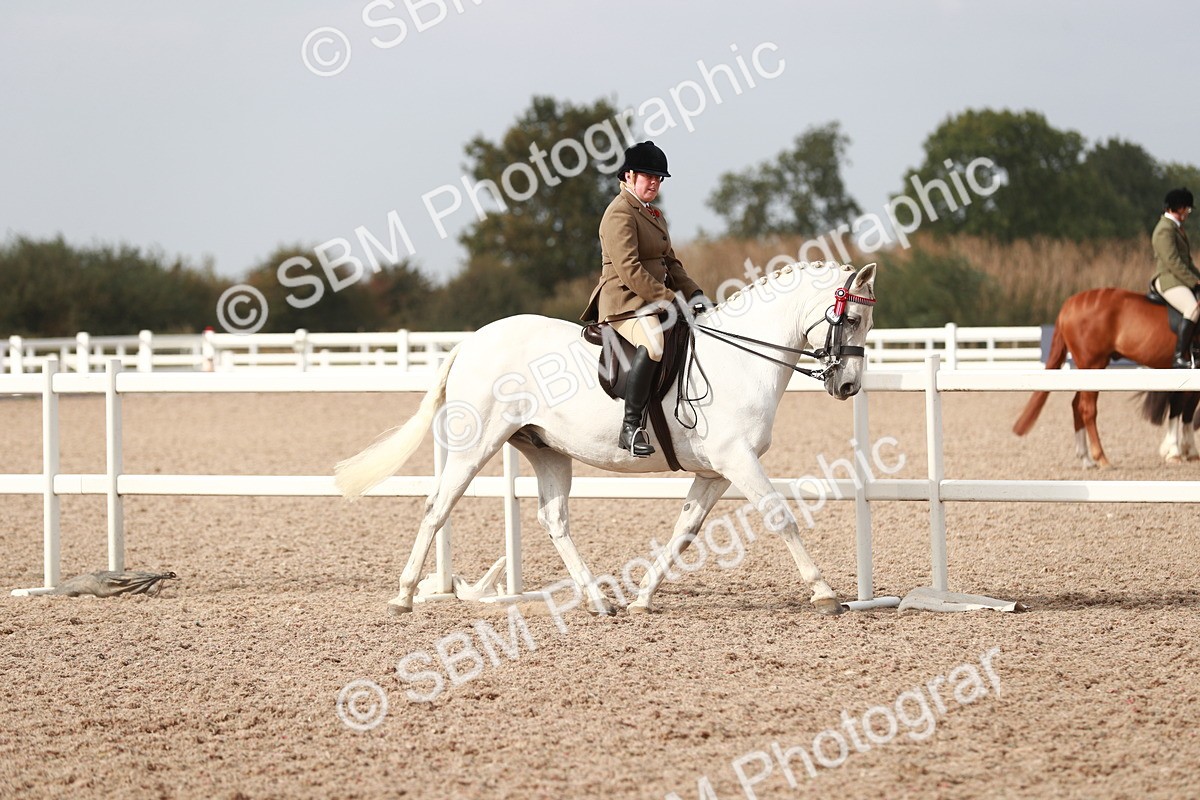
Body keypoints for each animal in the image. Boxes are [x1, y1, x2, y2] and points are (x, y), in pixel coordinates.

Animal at [335, 261, 878, 617]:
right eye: (851, 318)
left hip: (546, 450)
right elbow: (781, 517)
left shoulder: (715, 471)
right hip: (476, 446)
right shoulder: (737, 460)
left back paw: (598, 599)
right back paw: (403, 596)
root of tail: (470, 342)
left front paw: (641, 599)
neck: (740, 359)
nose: (848, 386)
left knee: (554, 520)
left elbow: (685, 531)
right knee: (438, 507)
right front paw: (826, 594)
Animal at [1012, 287, 1200, 467]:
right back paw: (1101, 458)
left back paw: (1086, 459)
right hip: (1093, 365)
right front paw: (1174, 452)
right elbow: (1178, 408)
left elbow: (1188, 410)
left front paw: (1190, 453)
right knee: (1087, 409)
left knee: (1076, 406)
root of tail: (1069, 304)